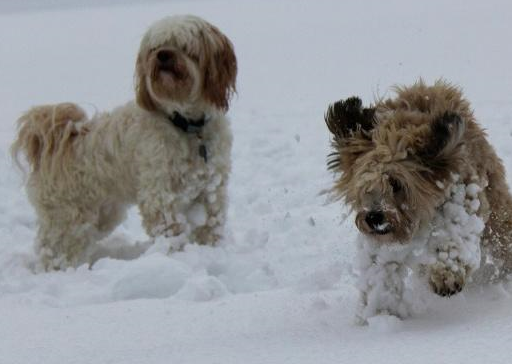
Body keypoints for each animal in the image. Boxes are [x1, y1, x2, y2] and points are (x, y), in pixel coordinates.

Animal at [10, 14, 238, 270]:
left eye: (184, 46)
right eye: (155, 47)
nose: (163, 55)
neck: (186, 124)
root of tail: (56, 143)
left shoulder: (212, 188)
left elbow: (210, 224)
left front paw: (211, 250)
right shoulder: (160, 192)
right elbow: (170, 229)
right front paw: (174, 259)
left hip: (103, 213)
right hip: (67, 216)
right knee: (53, 248)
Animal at [324, 80, 512, 318]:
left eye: (396, 183)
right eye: (364, 187)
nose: (374, 217)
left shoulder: (460, 202)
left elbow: (453, 240)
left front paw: (446, 276)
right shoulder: (383, 245)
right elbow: (382, 270)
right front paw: (380, 312)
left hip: (496, 208)